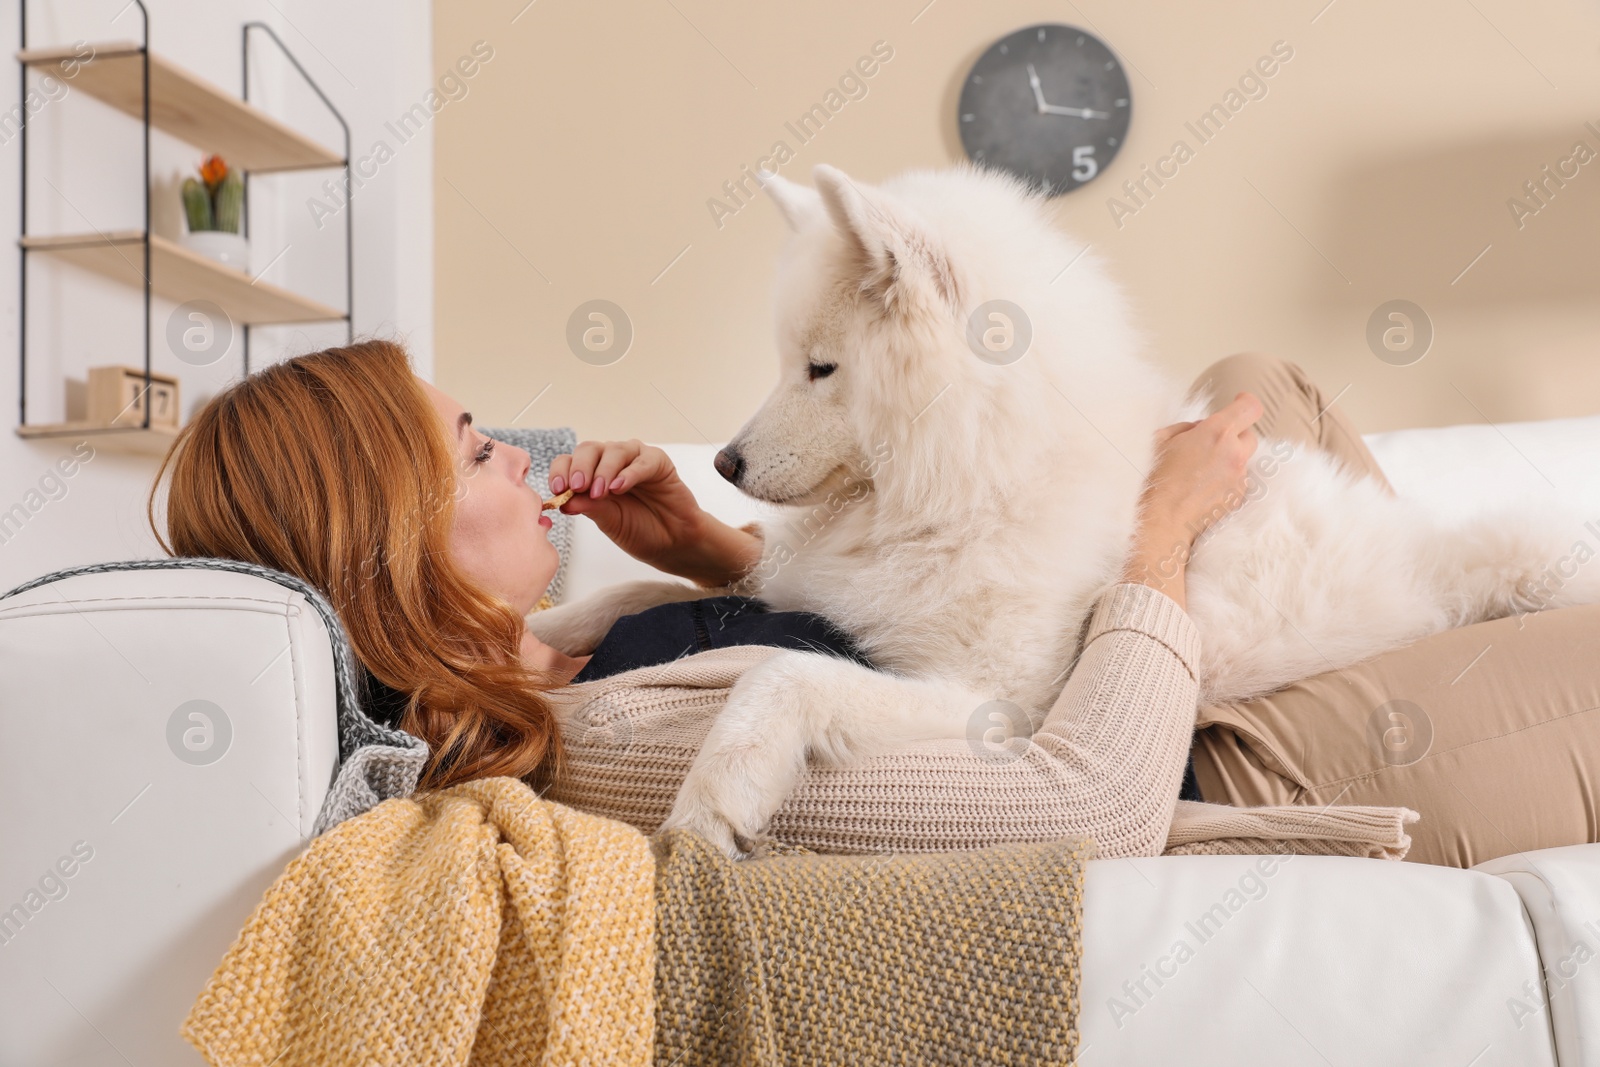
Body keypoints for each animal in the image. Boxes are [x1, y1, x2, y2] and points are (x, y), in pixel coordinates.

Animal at [531, 163, 1593, 857]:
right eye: (791, 359)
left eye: (821, 367)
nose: (723, 461)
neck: (973, 477)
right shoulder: (807, 584)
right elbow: (631, 593)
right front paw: (537, 632)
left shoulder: (1000, 702)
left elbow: (780, 672)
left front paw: (717, 791)